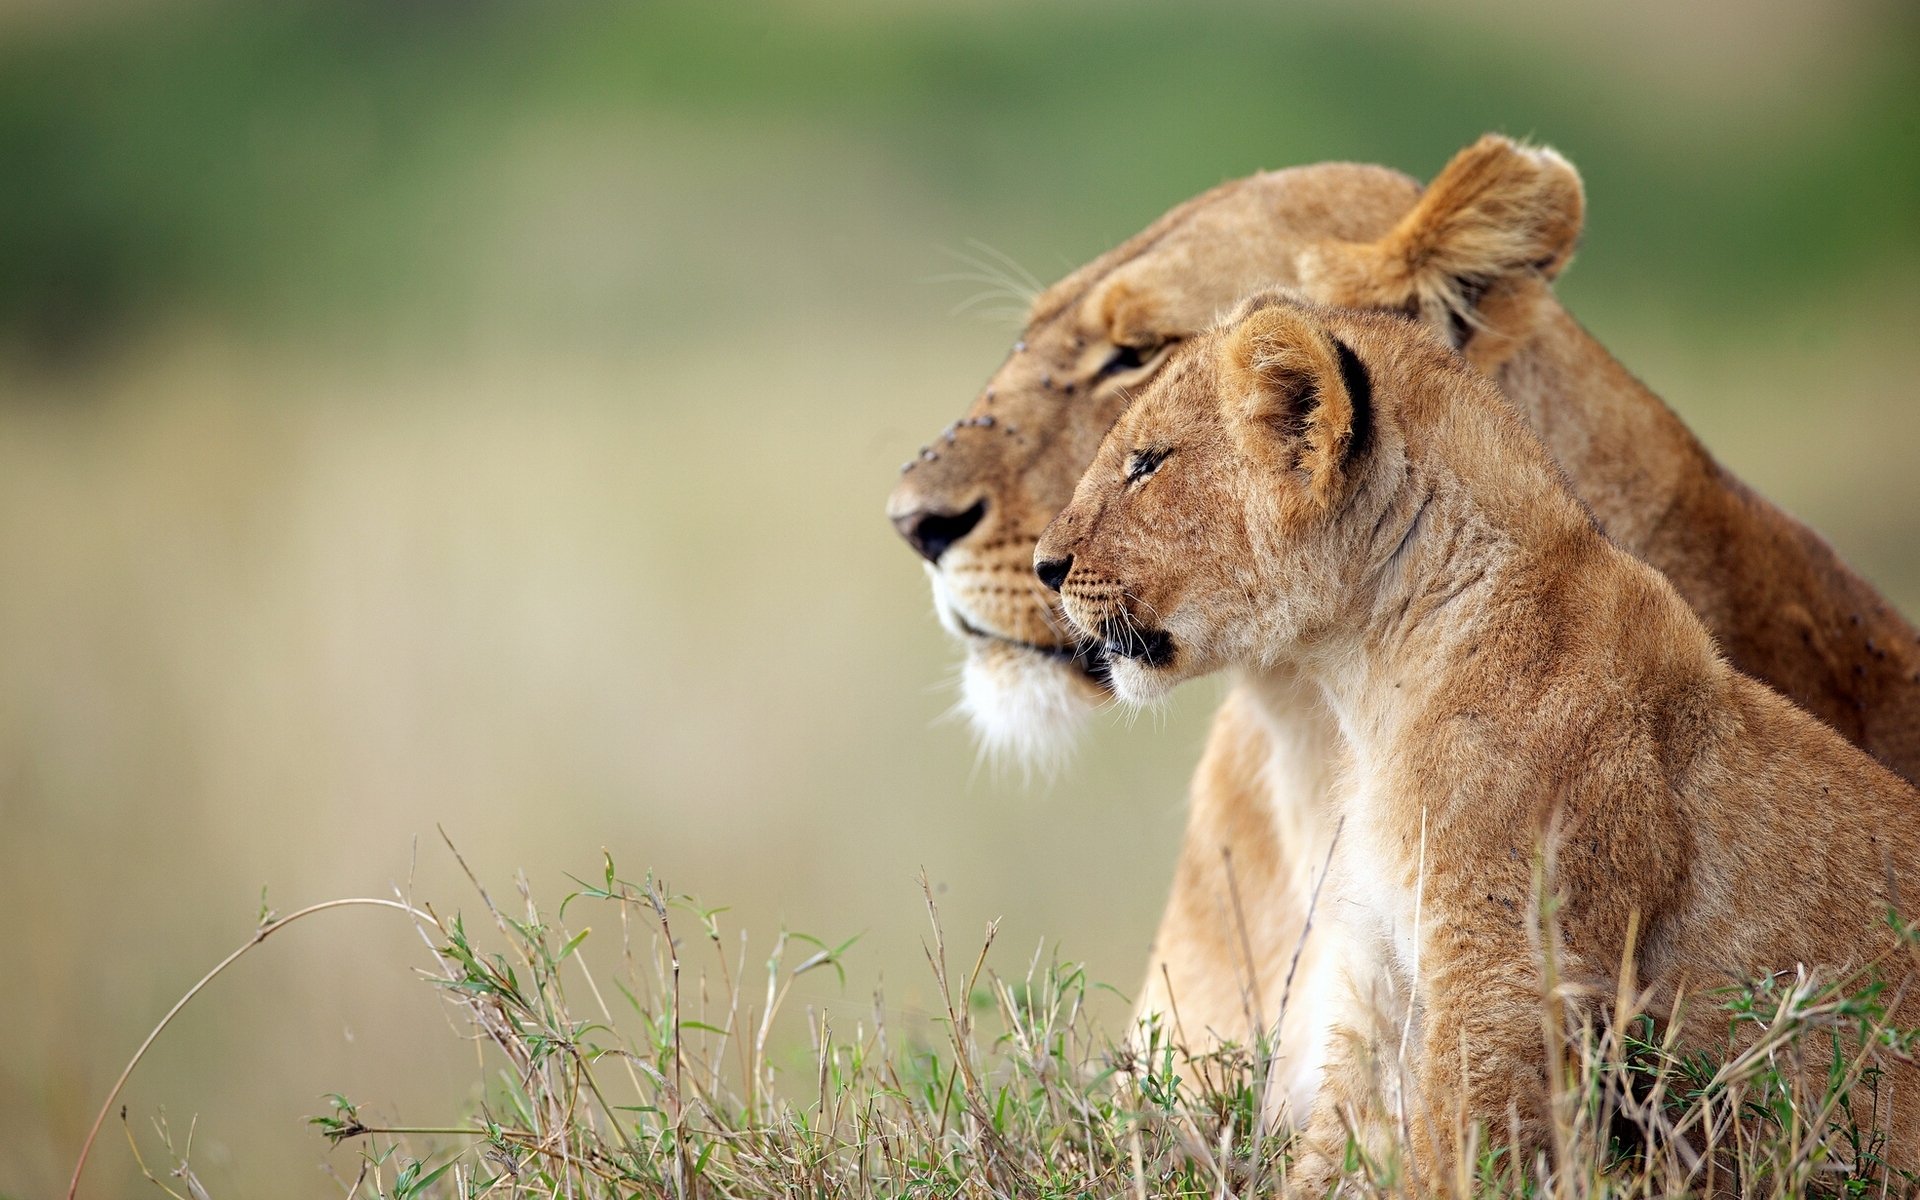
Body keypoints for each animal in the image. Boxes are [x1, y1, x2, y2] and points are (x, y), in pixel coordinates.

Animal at [1034, 291, 1920, 1189]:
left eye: (1147, 463)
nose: (1045, 565)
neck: (1369, 681)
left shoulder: (1512, 980)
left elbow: (1455, 1155)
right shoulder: (1380, 985)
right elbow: (1333, 1154)